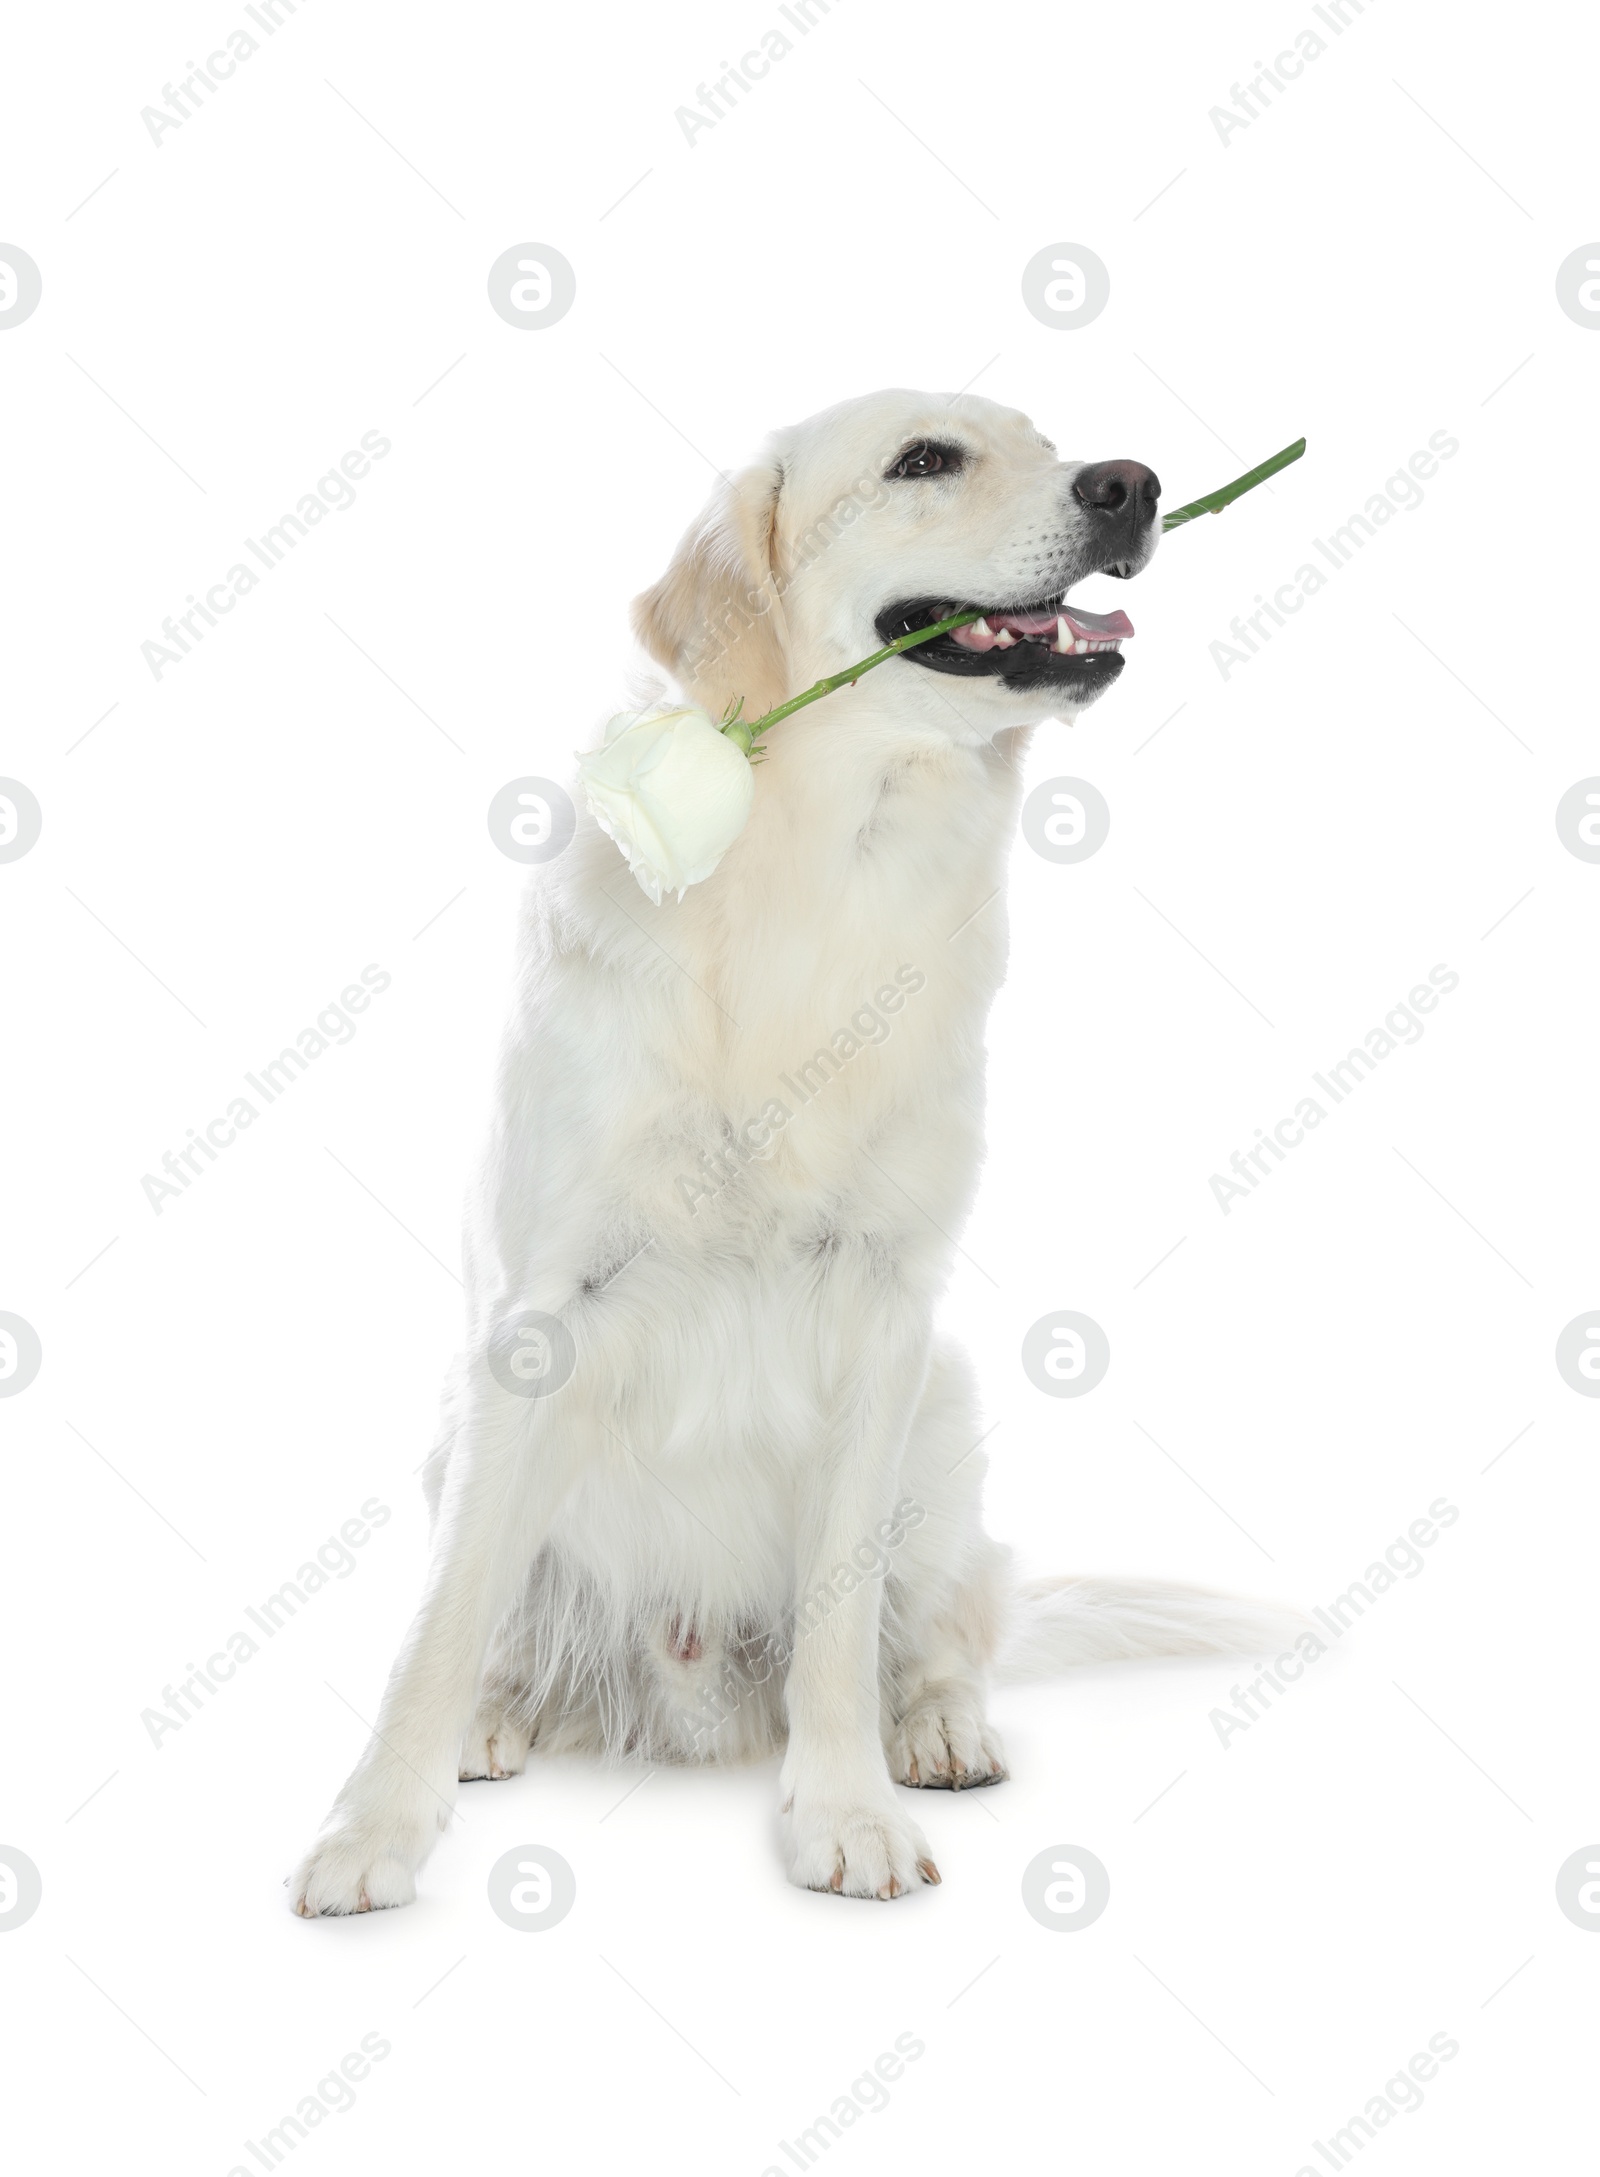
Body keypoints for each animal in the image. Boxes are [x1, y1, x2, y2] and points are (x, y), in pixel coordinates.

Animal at [293, 387, 1297, 1907]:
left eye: (1044, 440)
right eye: (925, 461)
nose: (1132, 483)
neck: (816, 868)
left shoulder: (882, 1305)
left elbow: (839, 1621)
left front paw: (845, 1810)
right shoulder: (538, 1312)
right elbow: (439, 1620)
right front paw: (370, 1830)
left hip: (943, 1425)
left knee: (943, 1632)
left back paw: (937, 1731)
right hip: (452, 1437)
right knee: (504, 1624)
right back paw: (494, 1715)